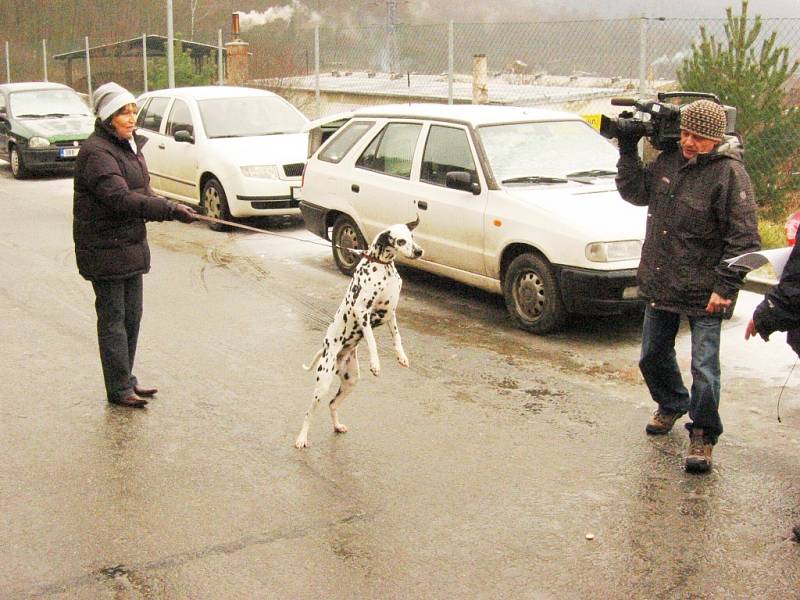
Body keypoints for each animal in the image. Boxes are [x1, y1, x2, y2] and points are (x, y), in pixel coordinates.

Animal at [296, 218, 424, 448]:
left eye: (412, 237)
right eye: (401, 241)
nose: (419, 251)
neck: (382, 266)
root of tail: (327, 349)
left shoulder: (391, 313)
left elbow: (397, 337)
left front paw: (401, 356)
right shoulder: (362, 311)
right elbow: (372, 340)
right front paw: (375, 363)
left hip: (350, 381)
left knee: (332, 404)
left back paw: (337, 426)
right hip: (323, 384)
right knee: (309, 412)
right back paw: (302, 438)